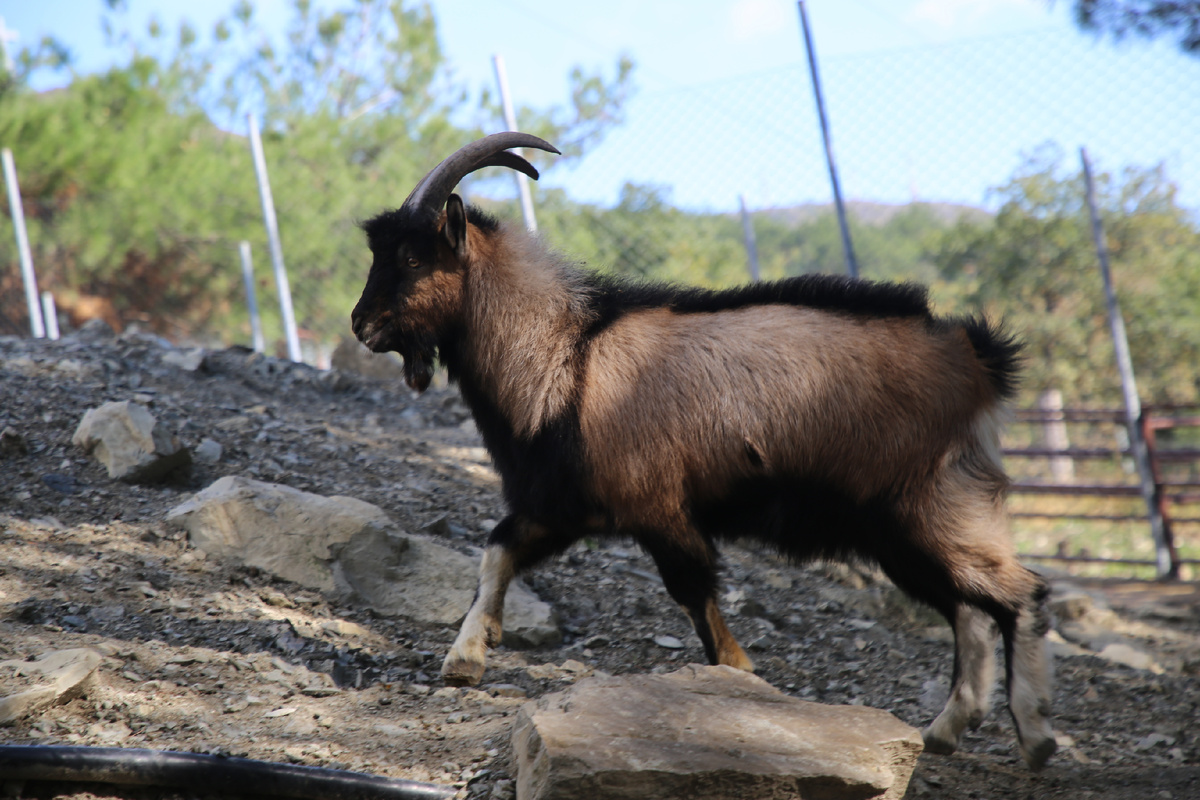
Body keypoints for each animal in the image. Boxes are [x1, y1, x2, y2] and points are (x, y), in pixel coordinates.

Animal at [350, 131, 1060, 767]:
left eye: (411, 259)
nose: (360, 325)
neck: (565, 357)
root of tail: (976, 359)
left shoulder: (659, 509)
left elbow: (696, 594)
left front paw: (742, 678)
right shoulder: (564, 507)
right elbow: (498, 551)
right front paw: (463, 660)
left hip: (933, 506)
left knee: (1019, 594)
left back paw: (1036, 737)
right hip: (898, 530)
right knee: (968, 609)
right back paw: (947, 730)